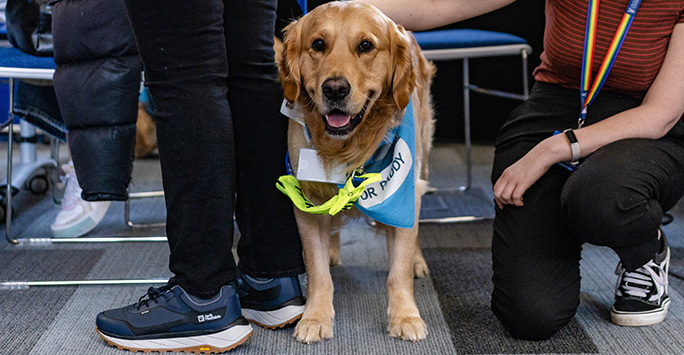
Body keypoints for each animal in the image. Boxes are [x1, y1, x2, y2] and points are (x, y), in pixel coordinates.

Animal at [276, 1, 432, 344]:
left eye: (366, 46)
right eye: (318, 44)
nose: (335, 89)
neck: (348, 149)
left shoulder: (402, 190)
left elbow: (398, 268)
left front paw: (406, 316)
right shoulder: (306, 201)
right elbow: (317, 269)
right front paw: (315, 317)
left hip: (423, 161)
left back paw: (418, 261)